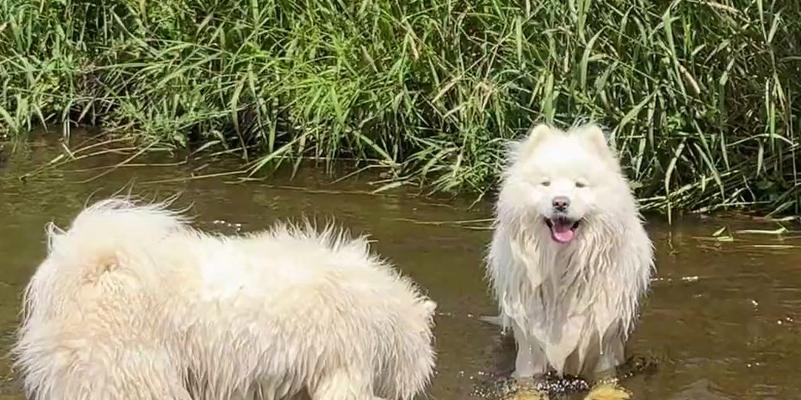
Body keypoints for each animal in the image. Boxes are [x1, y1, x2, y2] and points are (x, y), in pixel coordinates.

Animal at [484, 122, 652, 382]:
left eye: (579, 185)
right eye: (546, 184)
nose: (560, 202)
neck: (562, 265)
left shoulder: (603, 339)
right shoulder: (531, 345)